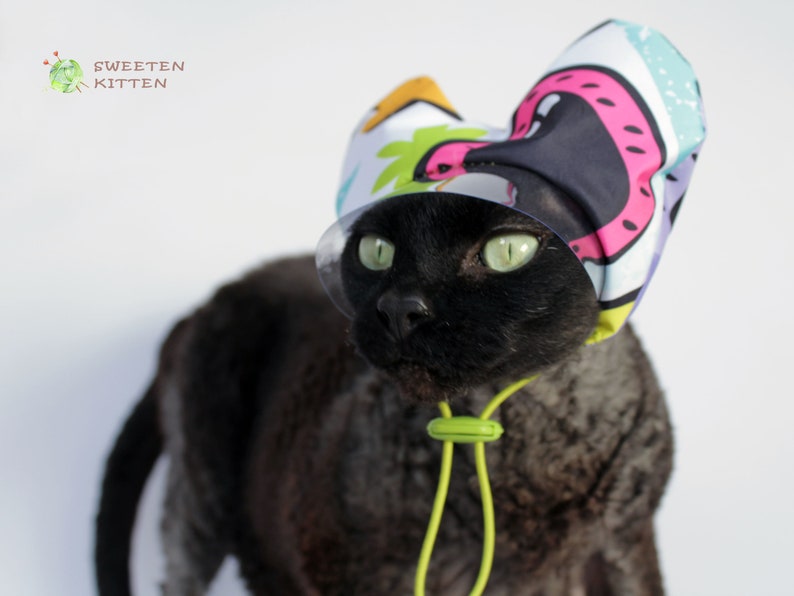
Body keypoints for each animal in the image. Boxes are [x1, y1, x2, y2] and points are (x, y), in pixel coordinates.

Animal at [96, 189, 672, 592]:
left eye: (508, 250)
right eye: (377, 251)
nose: (399, 308)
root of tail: (206, 301)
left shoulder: (625, 546)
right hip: (200, 491)